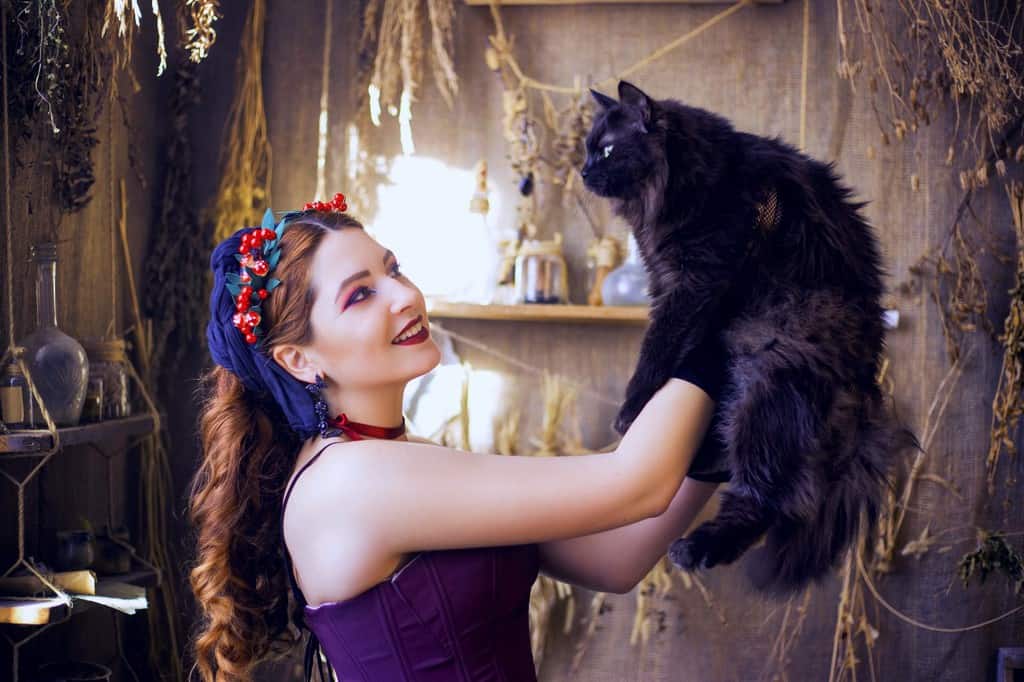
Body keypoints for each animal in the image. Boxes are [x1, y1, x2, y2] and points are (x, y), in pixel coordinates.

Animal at [582, 80, 919, 594]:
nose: (582, 170)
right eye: (587, 148)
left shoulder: (694, 279)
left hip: (766, 377)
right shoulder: (669, 279)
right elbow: (672, 341)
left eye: (606, 150)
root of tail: (863, 393)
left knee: (763, 499)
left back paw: (695, 548)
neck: (697, 179)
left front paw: (631, 408)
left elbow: (658, 347)